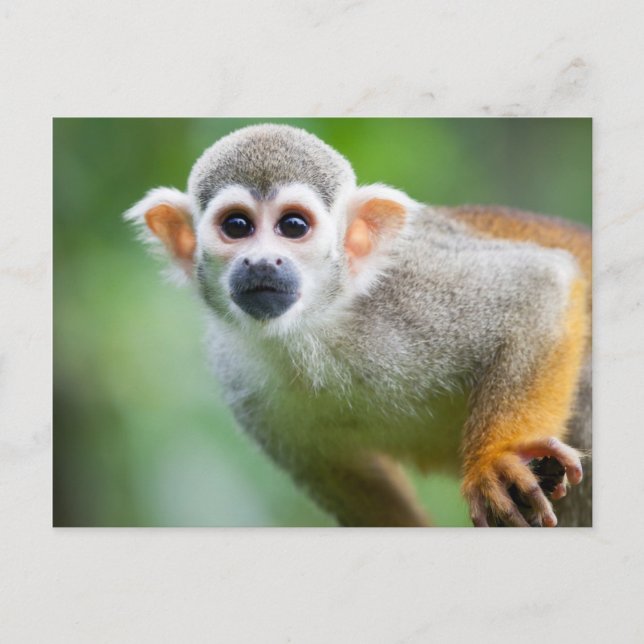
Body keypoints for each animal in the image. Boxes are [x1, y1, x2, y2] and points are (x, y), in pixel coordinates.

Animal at [125, 123, 591, 527]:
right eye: (236, 226)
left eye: (292, 226)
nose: (260, 262)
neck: (316, 326)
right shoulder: (238, 376)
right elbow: (350, 481)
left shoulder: (414, 288)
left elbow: (539, 285)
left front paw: (497, 460)